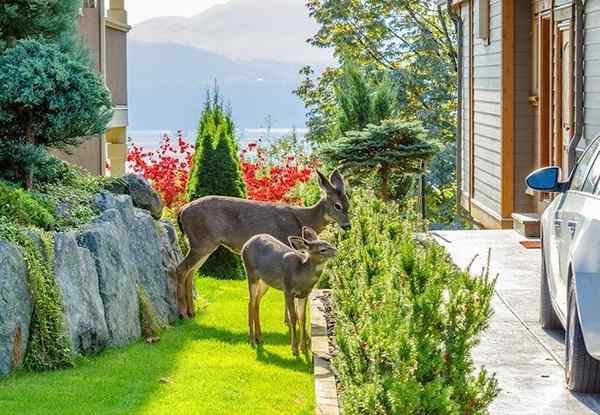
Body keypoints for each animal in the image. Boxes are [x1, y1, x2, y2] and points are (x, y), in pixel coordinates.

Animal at [176, 169, 350, 318]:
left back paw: (192, 312)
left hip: (203, 244)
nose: (348, 225)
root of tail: (182, 210)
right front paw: (287, 319)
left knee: (191, 271)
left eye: (348, 204)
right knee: (180, 269)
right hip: (201, 241)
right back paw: (182, 313)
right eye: (337, 205)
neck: (303, 219)